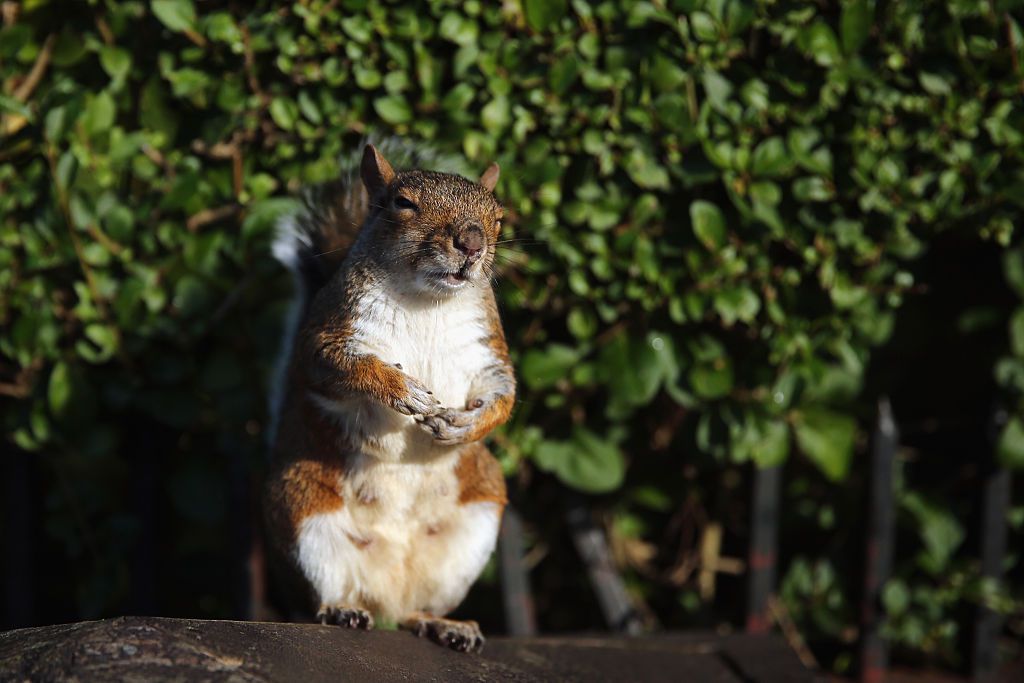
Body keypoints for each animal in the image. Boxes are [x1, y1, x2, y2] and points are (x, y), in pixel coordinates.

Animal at [264, 141, 516, 655]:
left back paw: (442, 624)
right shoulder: (326, 337)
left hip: (475, 523)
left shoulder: (489, 355)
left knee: (412, 612)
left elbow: (504, 395)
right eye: (403, 204)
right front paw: (403, 390)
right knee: (324, 594)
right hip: (304, 514)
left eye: (498, 217)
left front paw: (465, 425)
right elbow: (344, 368)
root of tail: (386, 594)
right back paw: (340, 610)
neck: (428, 300)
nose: (472, 243)